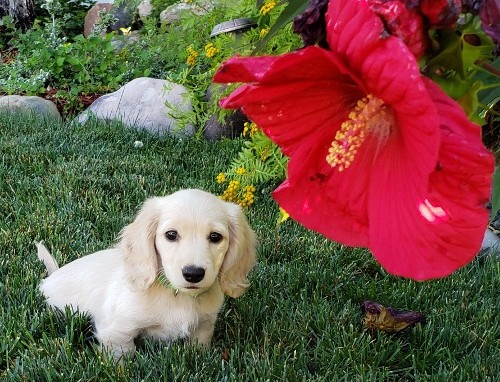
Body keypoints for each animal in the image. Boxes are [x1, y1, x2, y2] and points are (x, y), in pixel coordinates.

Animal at [38, 190, 258, 360]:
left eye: (215, 237)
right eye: (171, 235)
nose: (193, 274)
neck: (176, 296)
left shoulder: (204, 326)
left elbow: (199, 347)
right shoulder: (115, 330)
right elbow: (123, 353)